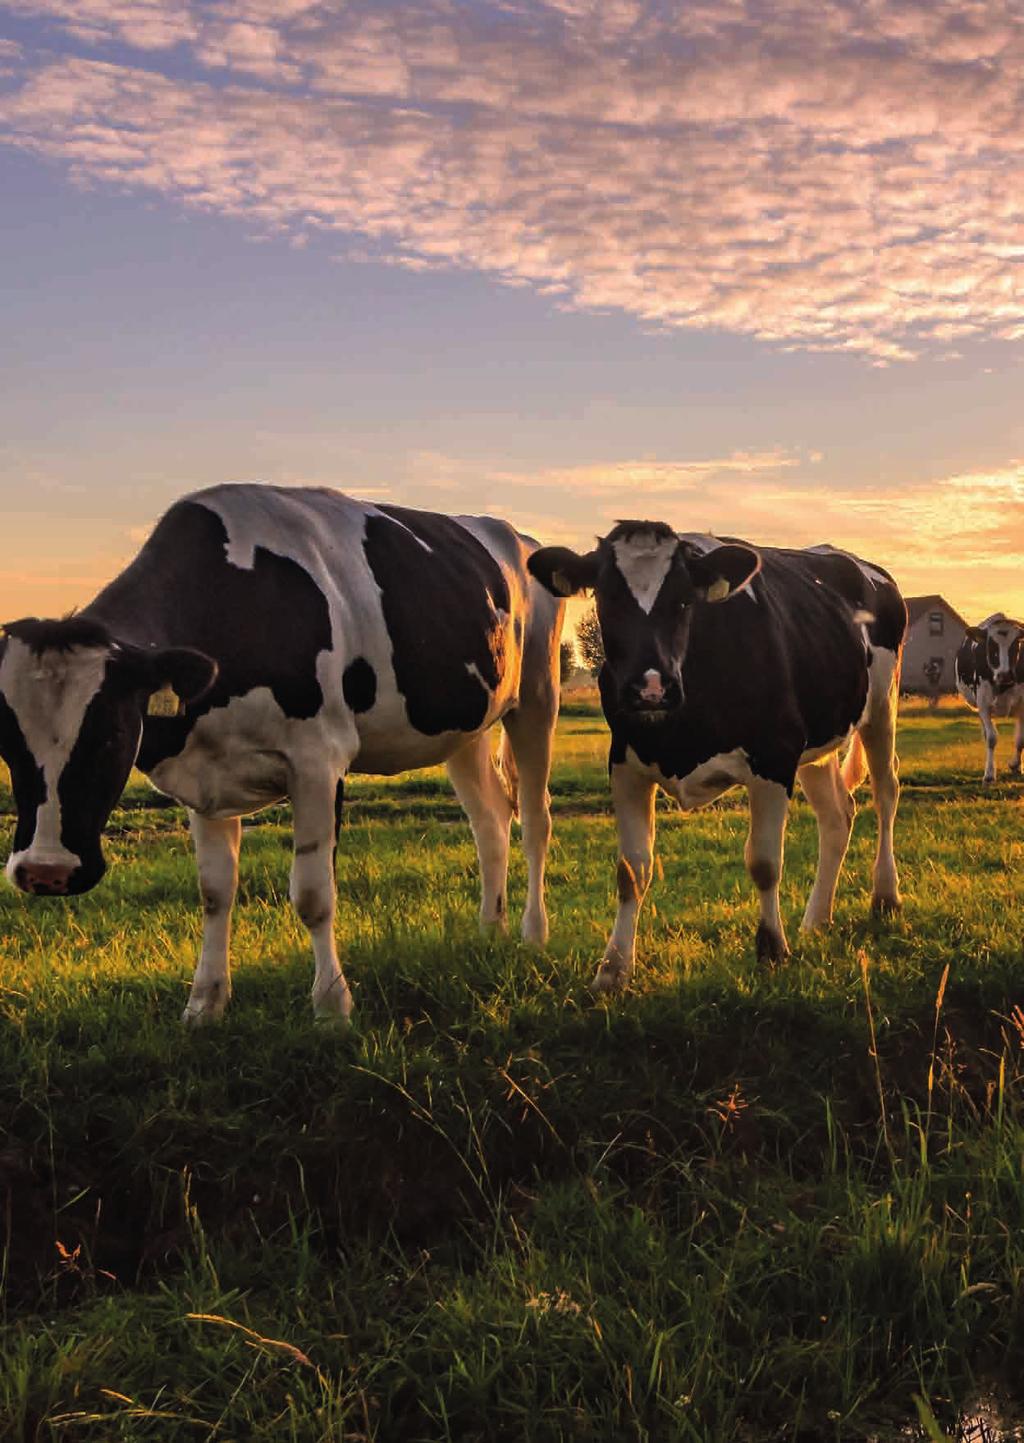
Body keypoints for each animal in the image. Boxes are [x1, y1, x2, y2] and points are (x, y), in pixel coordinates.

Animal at [0, 484, 565, 1027]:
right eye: (6, 740)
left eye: (113, 733)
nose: (45, 871)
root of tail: (515, 535)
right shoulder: (204, 777)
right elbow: (214, 892)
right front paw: (204, 1005)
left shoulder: (319, 761)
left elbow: (313, 896)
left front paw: (332, 1007)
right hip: (465, 729)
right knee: (489, 821)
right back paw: (489, 930)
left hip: (537, 697)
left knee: (534, 820)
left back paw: (533, 933)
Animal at [530, 522, 905, 992]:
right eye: (607, 598)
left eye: (684, 600)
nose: (651, 688)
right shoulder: (625, 765)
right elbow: (632, 871)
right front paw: (613, 970)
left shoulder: (775, 757)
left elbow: (764, 862)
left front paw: (772, 951)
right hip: (819, 741)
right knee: (838, 814)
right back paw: (816, 919)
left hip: (882, 705)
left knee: (886, 792)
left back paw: (885, 896)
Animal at [951, 611, 1024, 784]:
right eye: (991, 645)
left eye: (1016, 644)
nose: (1005, 674)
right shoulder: (983, 704)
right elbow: (991, 738)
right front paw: (989, 774)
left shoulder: (1023, 704)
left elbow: (1020, 739)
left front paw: (1016, 765)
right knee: (986, 734)